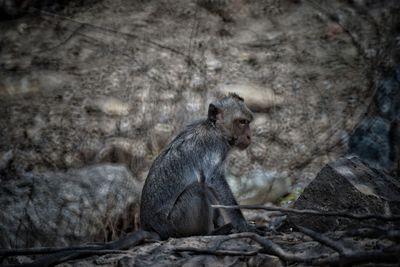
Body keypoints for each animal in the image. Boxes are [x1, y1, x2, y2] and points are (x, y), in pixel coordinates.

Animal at [139, 93, 255, 240]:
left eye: (247, 122)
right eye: (242, 122)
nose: (249, 136)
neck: (215, 129)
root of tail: (151, 228)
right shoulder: (215, 146)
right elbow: (214, 180)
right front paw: (243, 225)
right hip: (176, 223)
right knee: (198, 189)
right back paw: (211, 233)